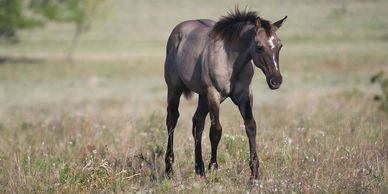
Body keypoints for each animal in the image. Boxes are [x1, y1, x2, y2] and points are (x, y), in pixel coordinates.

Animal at [162, 8, 286, 180]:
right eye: (260, 47)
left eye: (280, 46)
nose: (276, 81)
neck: (230, 61)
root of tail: (177, 31)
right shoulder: (214, 94)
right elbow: (216, 131)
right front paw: (213, 168)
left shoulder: (244, 95)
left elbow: (251, 126)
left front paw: (254, 174)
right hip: (175, 89)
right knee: (172, 120)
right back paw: (169, 168)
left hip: (203, 96)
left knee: (197, 122)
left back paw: (199, 168)